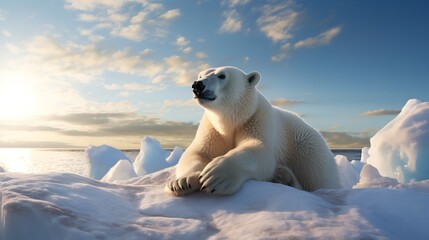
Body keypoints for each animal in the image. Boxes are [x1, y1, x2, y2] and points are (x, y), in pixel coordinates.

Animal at [166, 66, 340, 196]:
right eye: (200, 74)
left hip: (308, 152)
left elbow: (259, 149)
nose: (197, 85)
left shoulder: (256, 117)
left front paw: (215, 176)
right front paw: (182, 182)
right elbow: (198, 151)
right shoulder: (212, 128)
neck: (233, 120)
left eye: (222, 76)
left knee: (318, 176)